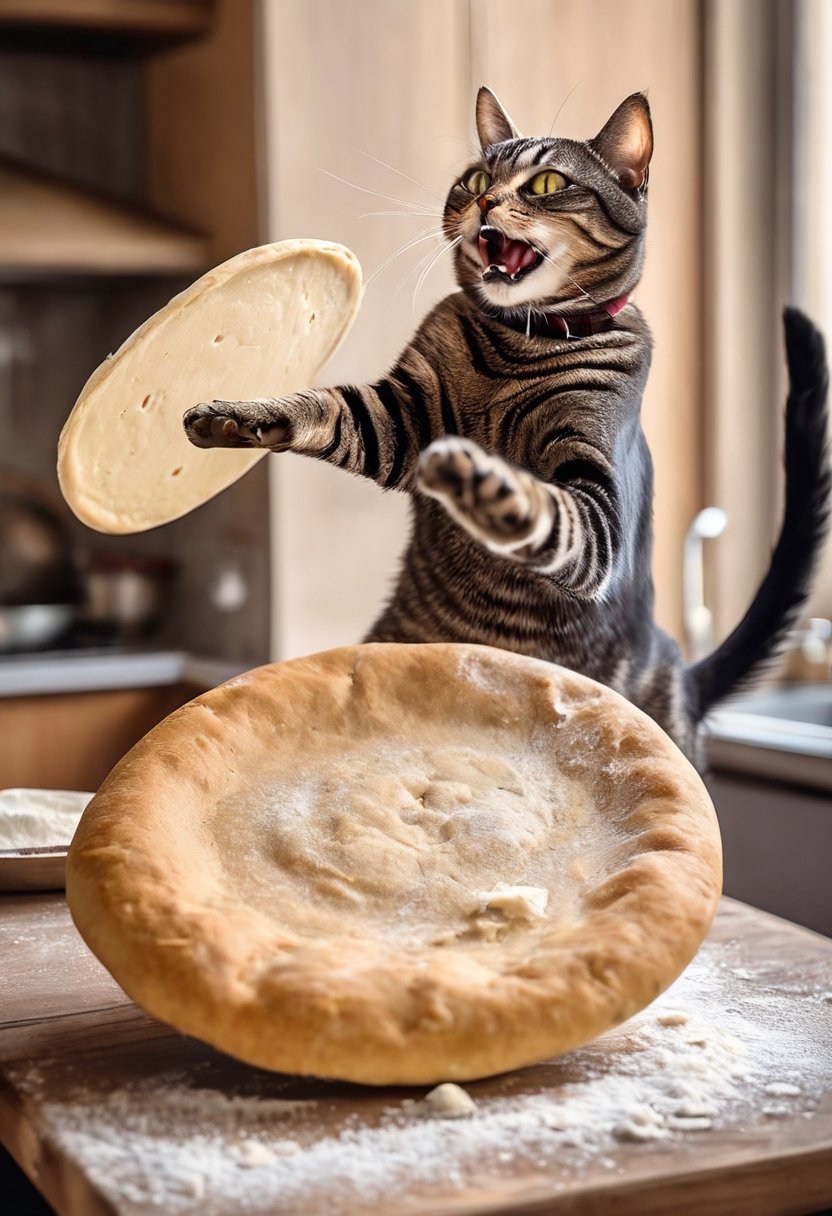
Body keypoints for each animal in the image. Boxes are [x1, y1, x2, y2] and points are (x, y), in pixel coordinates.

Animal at [183, 89, 832, 763]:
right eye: (474, 180)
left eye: (546, 183)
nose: (484, 202)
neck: (519, 345)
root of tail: (685, 674)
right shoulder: (398, 415)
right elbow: (323, 406)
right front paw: (237, 417)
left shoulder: (594, 490)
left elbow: (554, 512)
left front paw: (486, 486)